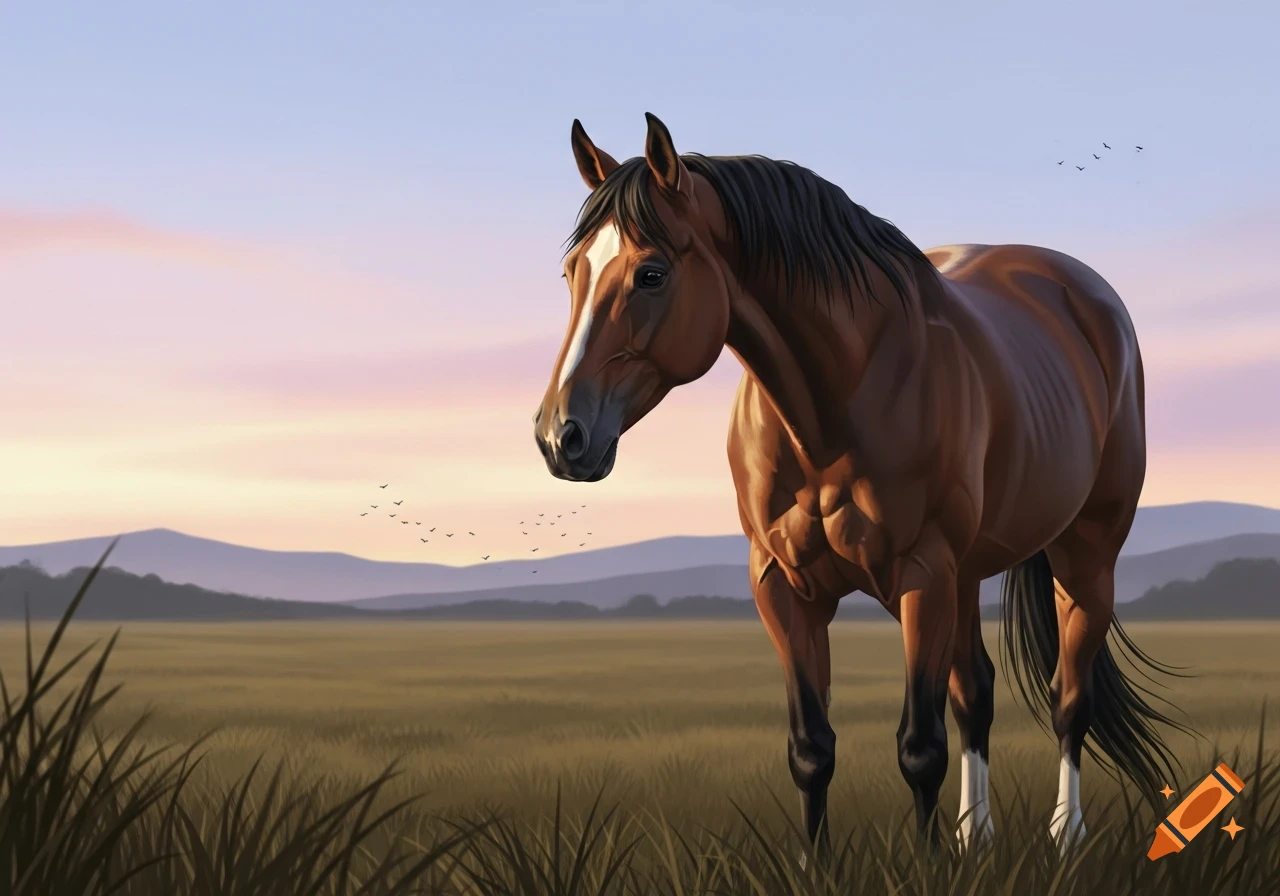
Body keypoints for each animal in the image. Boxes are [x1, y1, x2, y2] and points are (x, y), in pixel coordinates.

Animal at [532, 112, 1191, 855]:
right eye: (571, 274)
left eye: (651, 273)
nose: (561, 436)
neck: (834, 404)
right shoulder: (782, 587)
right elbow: (812, 749)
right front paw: (819, 862)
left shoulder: (922, 576)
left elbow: (920, 748)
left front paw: (929, 862)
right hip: (968, 576)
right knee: (976, 693)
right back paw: (977, 836)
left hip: (1084, 554)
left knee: (1069, 699)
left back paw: (1065, 834)